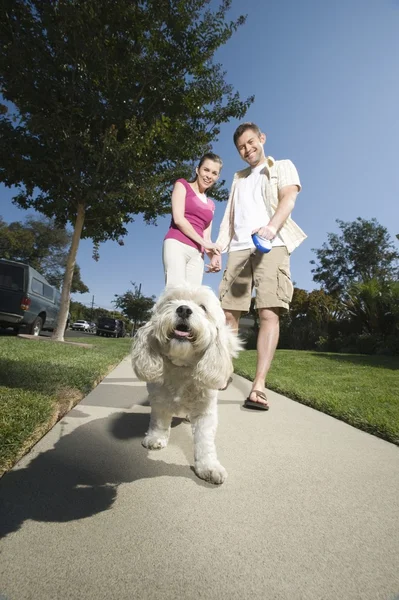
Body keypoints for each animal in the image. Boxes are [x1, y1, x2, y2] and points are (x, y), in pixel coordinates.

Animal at [133, 284, 242, 486]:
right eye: (170, 302)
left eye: (203, 307)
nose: (183, 309)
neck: (181, 366)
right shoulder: (159, 400)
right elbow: (159, 421)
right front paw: (155, 438)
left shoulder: (205, 411)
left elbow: (205, 440)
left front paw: (208, 466)